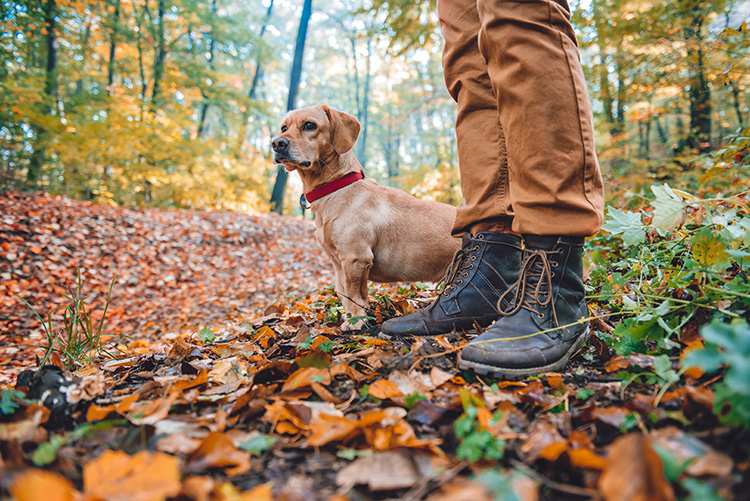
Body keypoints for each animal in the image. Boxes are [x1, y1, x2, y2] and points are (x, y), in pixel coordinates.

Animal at [270, 104, 458, 330]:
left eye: (309, 125)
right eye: (283, 127)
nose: (276, 143)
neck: (337, 189)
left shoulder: (355, 258)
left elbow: (353, 295)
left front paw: (356, 322)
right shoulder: (338, 264)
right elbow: (344, 294)